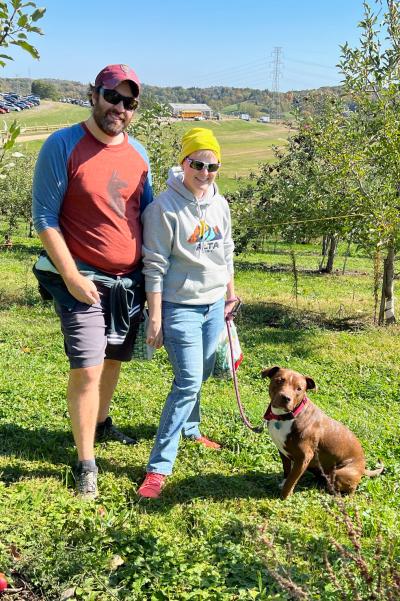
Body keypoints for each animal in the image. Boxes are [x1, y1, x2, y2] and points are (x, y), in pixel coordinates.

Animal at [260, 366, 382, 496]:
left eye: (299, 389)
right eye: (279, 380)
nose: (286, 398)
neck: (286, 417)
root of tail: (363, 468)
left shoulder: (303, 458)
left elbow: (291, 480)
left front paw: (284, 496)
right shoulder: (283, 452)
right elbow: (286, 471)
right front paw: (282, 484)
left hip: (341, 472)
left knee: (349, 490)